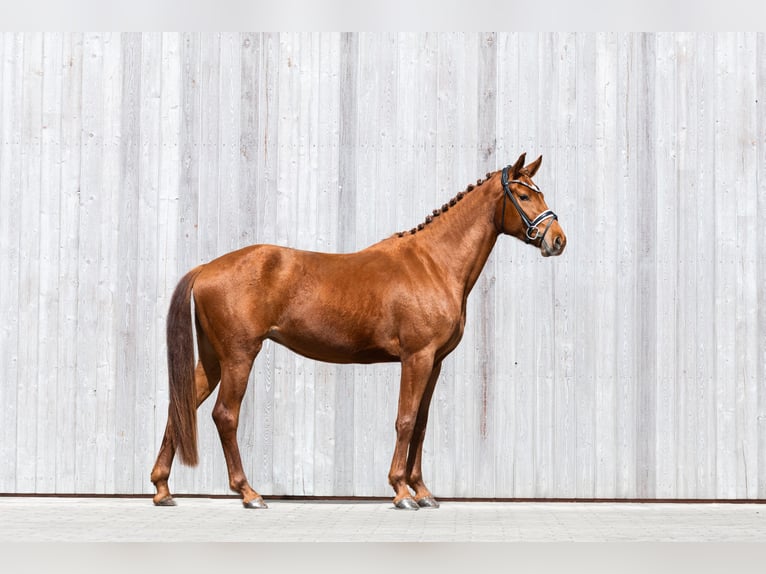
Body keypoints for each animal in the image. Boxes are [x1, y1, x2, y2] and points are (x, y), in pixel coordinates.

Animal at [150, 152, 566, 510]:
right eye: (524, 195)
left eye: (540, 192)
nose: (557, 239)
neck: (433, 264)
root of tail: (206, 267)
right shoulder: (416, 358)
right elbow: (405, 419)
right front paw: (401, 492)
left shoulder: (434, 362)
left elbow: (421, 424)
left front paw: (423, 491)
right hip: (239, 356)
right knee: (225, 415)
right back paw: (249, 493)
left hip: (213, 359)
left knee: (181, 405)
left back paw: (162, 489)